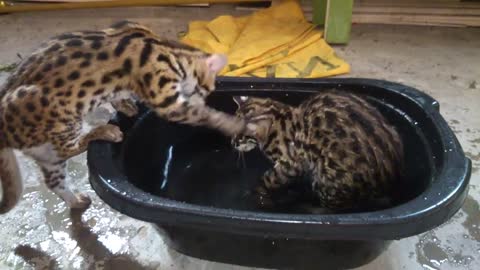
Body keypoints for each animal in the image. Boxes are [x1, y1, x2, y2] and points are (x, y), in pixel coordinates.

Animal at [0, 21, 255, 214]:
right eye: (205, 91)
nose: (204, 98)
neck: (171, 50)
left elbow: (116, 93)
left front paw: (125, 104)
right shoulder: (166, 98)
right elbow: (204, 115)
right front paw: (235, 124)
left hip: (46, 153)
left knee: (54, 177)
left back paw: (76, 201)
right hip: (62, 116)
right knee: (68, 147)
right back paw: (105, 131)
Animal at [232, 92, 404, 212]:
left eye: (240, 135)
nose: (232, 142)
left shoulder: (290, 163)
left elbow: (268, 179)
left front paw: (256, 193)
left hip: (327, 176)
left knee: (336, 209)